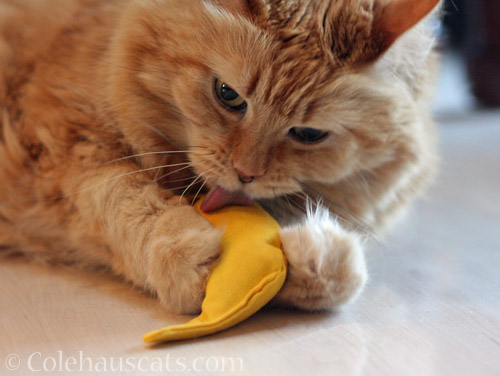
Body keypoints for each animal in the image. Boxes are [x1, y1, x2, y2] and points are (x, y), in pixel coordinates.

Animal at [0, 0, 438, 314]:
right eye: (228, 95)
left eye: (309, 134)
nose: (246, 173)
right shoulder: (65, 151)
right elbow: (125, 203)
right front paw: (181, 250)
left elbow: (342, 279)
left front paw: (312, 256)